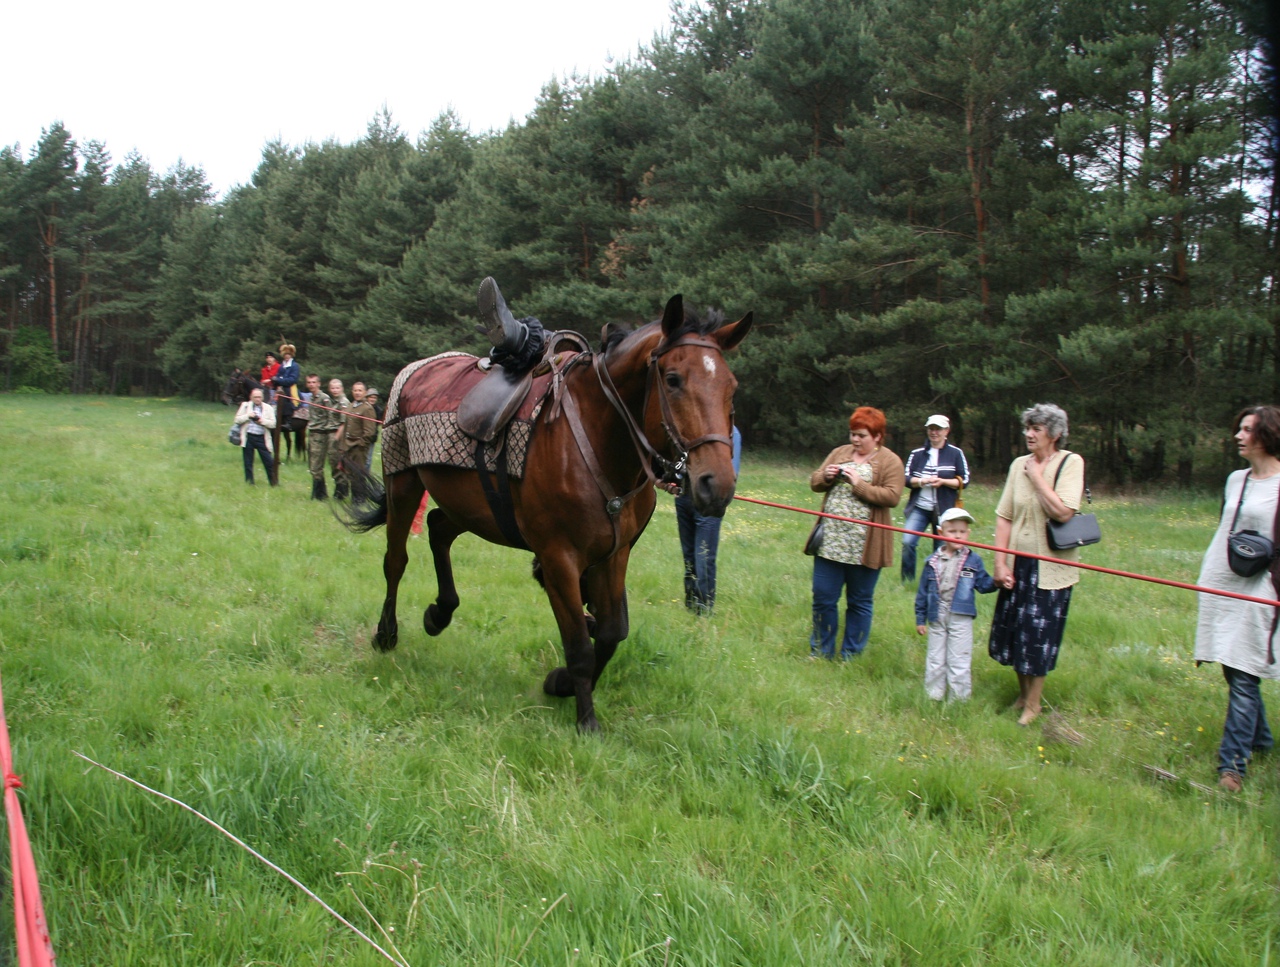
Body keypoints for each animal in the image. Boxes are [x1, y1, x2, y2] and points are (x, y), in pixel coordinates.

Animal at [348, 294, 747, 732]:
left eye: (731, 387)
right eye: (673, 379)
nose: (715, 485)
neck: (599, 440)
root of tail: (419, 367)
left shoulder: (614, 554)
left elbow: (612, 633)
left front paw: (562, 683)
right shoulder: (560, 559)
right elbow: (580, 647)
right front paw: (585, 720)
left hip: (471, 507)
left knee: (437, 527)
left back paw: (440, 612)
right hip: (403, 483)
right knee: (396, 560)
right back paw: (386, 633)